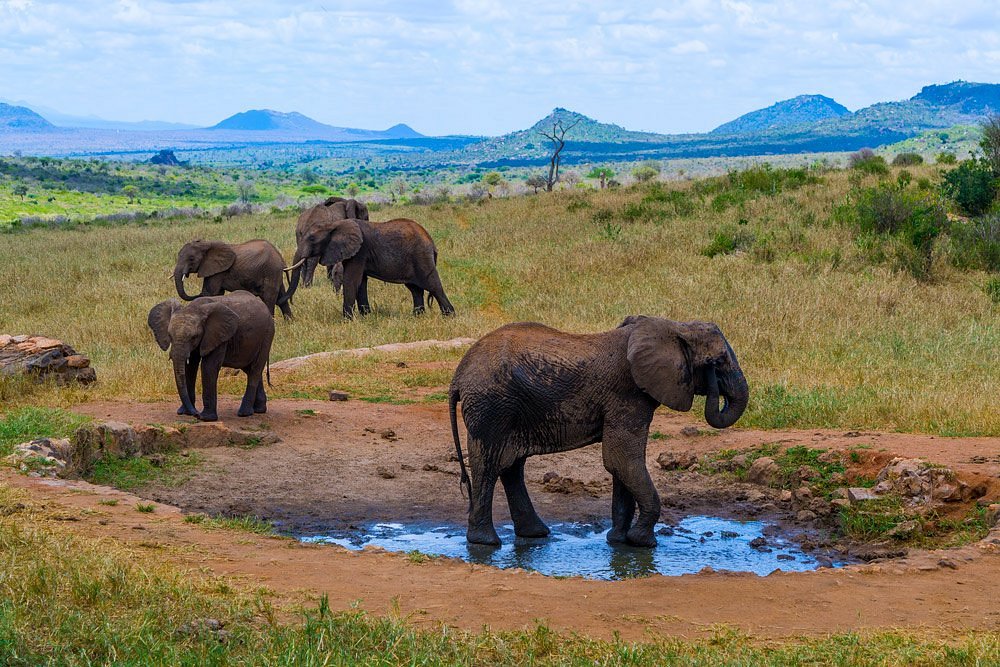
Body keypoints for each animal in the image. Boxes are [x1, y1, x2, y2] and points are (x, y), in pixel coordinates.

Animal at [147, 291, 275, 422]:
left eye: (194, 337)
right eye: (169, 335)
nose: (196, 414)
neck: (194, 308)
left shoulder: (218, 336)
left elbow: (208, 367)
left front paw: (206, 418)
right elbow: (190, 367)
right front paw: (184, 412)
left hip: (267, 335)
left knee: (255, 370)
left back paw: (244, 413)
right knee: (250, 370)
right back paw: (259, 410)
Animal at [282, 216, 455, 319]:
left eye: (312, 239)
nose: (291, 302)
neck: (335, 224)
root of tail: (431, 242)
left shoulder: (360, 251)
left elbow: (352, 280)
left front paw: (347, 320)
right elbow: (360, 282)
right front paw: (366, 316)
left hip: (421, 256)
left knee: (433, 285)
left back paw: (449, 316)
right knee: (415, 289)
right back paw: (417, 316)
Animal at [448, 316, 749, 548]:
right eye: (719, 361)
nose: (713, 379)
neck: (674, 327)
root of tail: (458, 376)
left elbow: (621, 465)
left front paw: (618, 541)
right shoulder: (627, 395)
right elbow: (622, 460)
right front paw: (643, 542)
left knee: (511, 467)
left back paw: (535, 534)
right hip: (492, 406)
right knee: (489, 464)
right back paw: (486, 542)